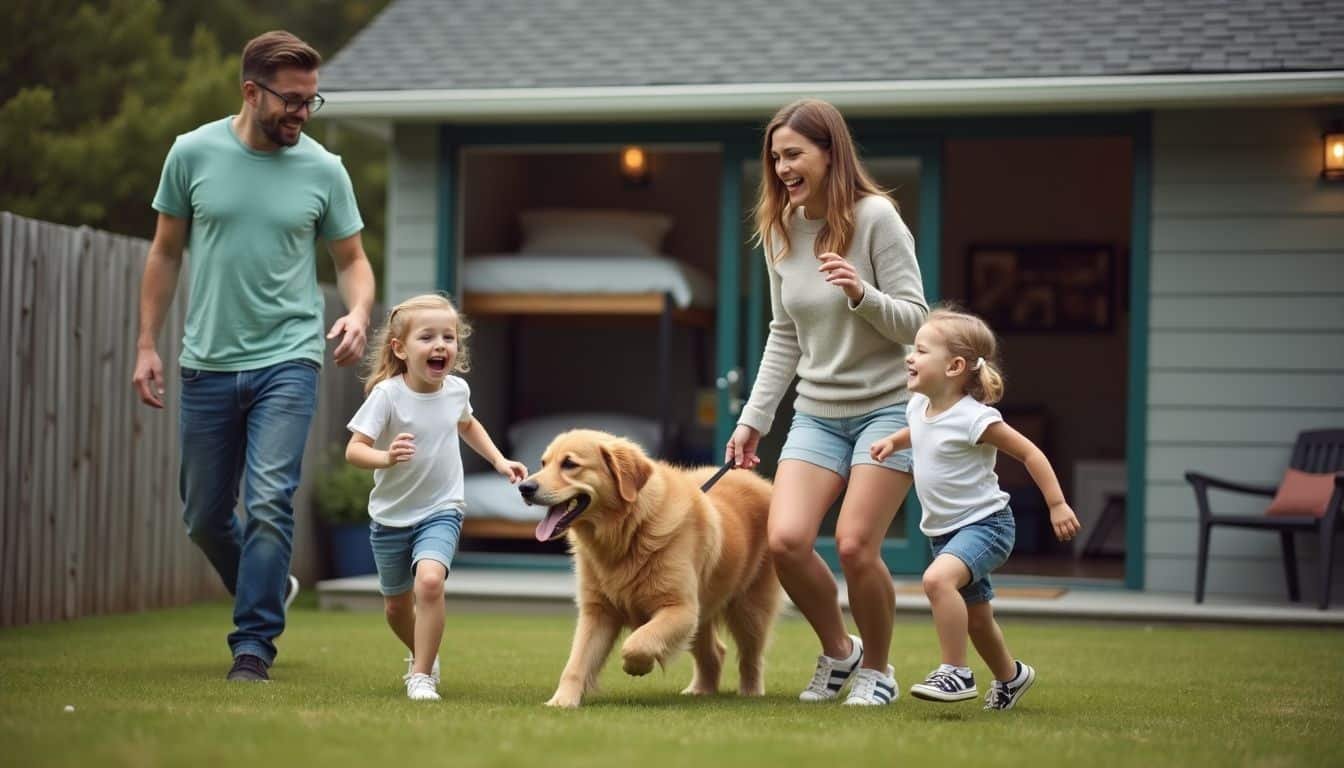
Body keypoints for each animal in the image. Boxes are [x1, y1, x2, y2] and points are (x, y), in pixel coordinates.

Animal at [518, 430, 784, 704]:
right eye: (543, 463)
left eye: (569, 464)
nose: (524, 487)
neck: (629, 530)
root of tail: (761, 482)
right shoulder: (597, 611)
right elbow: (576, 662)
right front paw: (562, 701)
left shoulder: (681, 608)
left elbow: (638, 642)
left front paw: (637, 666)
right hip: (703, 614)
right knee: (715, 652)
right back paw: (700, 690)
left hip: (749, 610)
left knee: (751, 657)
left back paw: (750, 692)